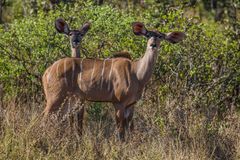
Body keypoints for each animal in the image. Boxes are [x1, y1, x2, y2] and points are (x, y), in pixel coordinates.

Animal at [42, 22, 186, 140]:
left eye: (160, 36)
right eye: (148, 35)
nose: (153, 44)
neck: (137, 74)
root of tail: (47, 72)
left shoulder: (131, 105)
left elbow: (130, 130)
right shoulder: (118, 103)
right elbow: (121, 132)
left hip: (70, 100)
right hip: (56, 97)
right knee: (45, 117)